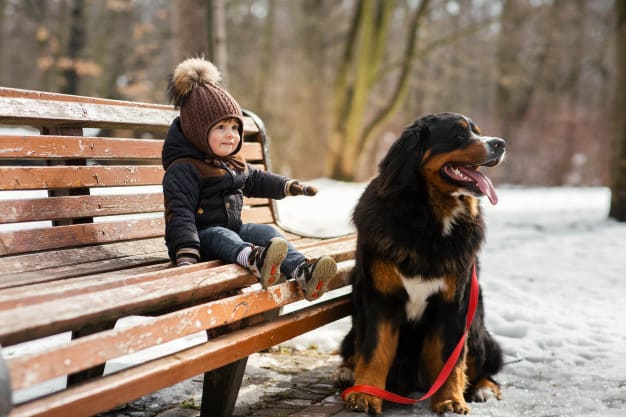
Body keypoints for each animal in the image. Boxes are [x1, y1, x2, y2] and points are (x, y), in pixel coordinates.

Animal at [334, 112, 504, 414]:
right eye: (459, 134)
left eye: (477, 131)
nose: (500, 144)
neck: (429, 221)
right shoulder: (381, 298)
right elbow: (375, 351)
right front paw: (365, 394)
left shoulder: (454, 303)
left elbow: (451, 358)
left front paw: (451, 400)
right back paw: (346, 372)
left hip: (476, 326)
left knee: (484, 366)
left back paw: (482, 388)